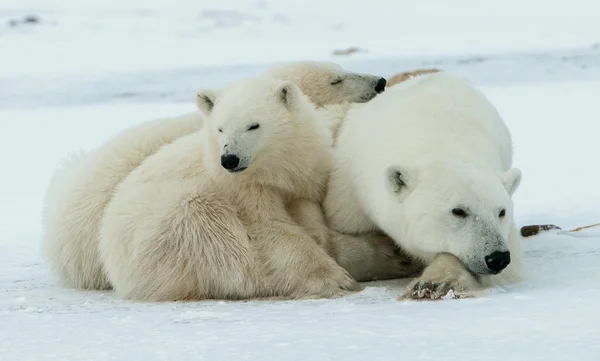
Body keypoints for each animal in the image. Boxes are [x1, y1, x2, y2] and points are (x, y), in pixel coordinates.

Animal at [324, 71, 524, 300]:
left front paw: (435, 282)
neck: (436, 145)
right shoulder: (350, 192)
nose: (497, 257)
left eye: (502, 212)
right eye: (458, 211)